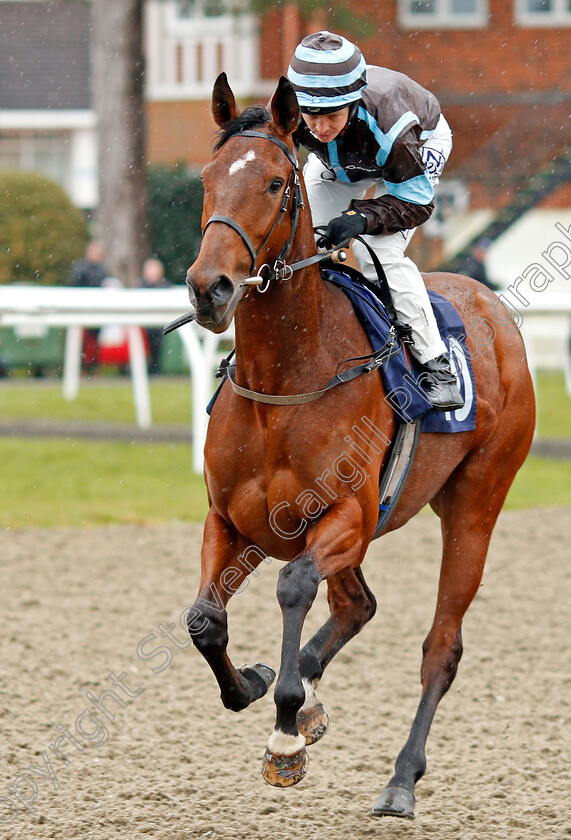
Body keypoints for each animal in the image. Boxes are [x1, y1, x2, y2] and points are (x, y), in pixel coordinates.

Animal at [184, 74, 536, 820]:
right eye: (206, 178)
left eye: (274, 183)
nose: (209, 288)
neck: (286, 376)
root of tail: (493, 306)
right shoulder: (229, 519)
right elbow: (204, 621)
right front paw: (254, 683)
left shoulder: (343, 516)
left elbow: (293, 586)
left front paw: (285, 730)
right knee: (357, 605)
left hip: (476, 504)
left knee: (440, 646)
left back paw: (400, 779)